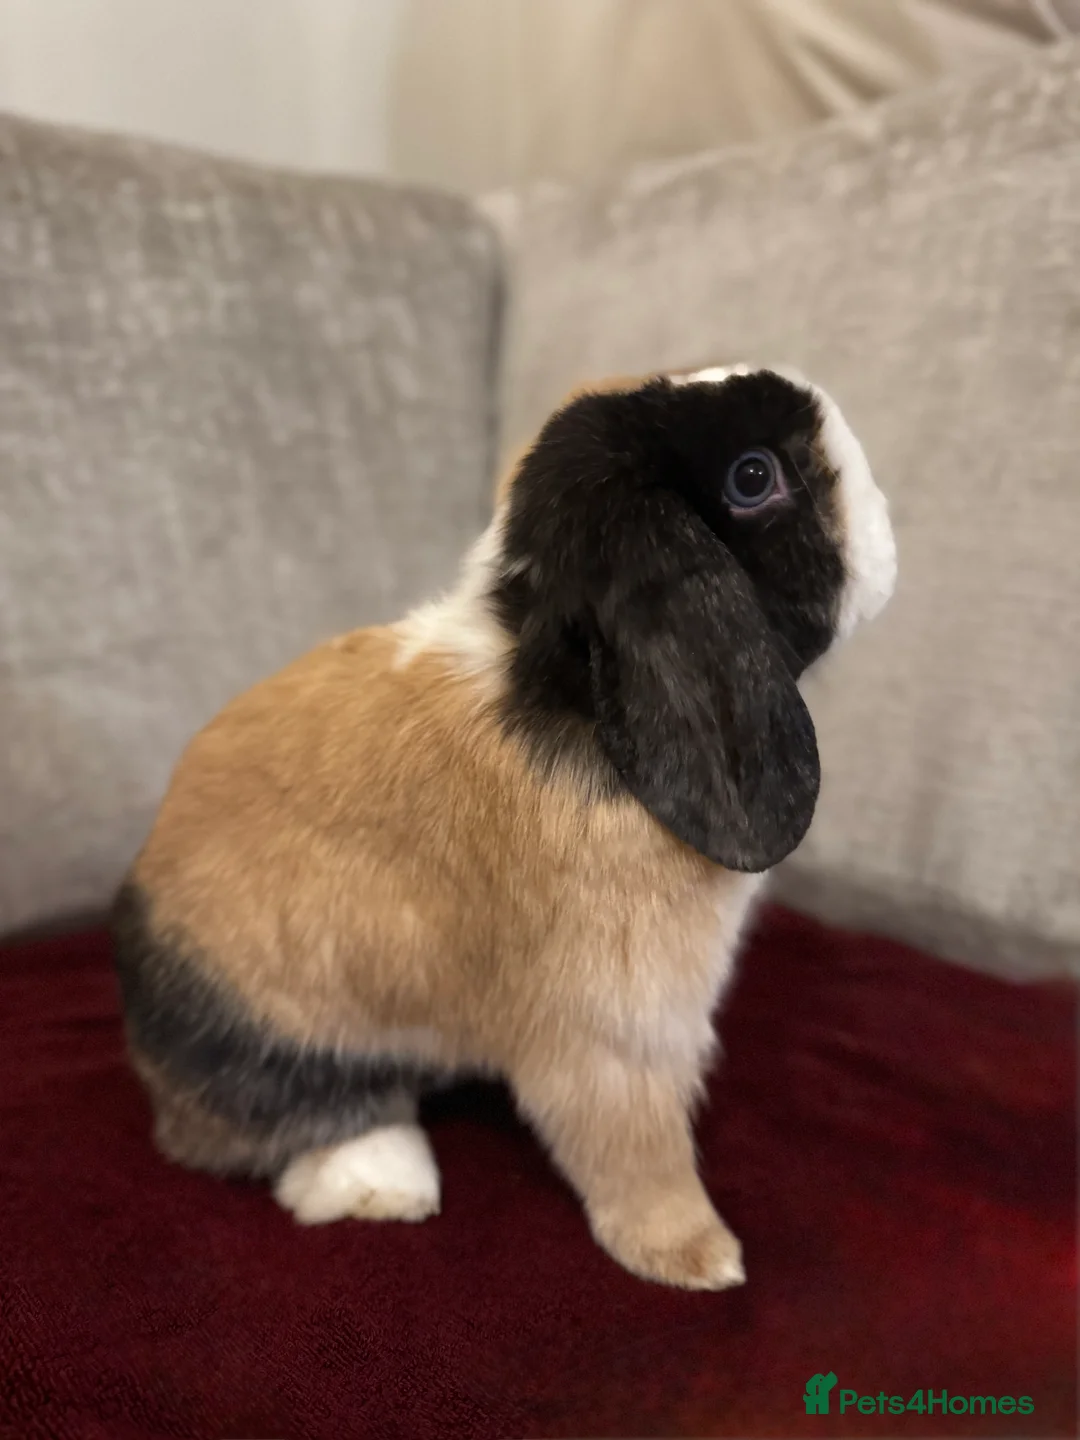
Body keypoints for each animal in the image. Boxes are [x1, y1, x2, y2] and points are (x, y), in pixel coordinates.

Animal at [112, 364, 896, 1291]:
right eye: (752, 477)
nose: (885, 516)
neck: (567, 691)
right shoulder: (618, 1033)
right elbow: (638, 1152)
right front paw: (699, 1259)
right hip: (279, 1028)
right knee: (282, 1127)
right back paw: (391, 1183)